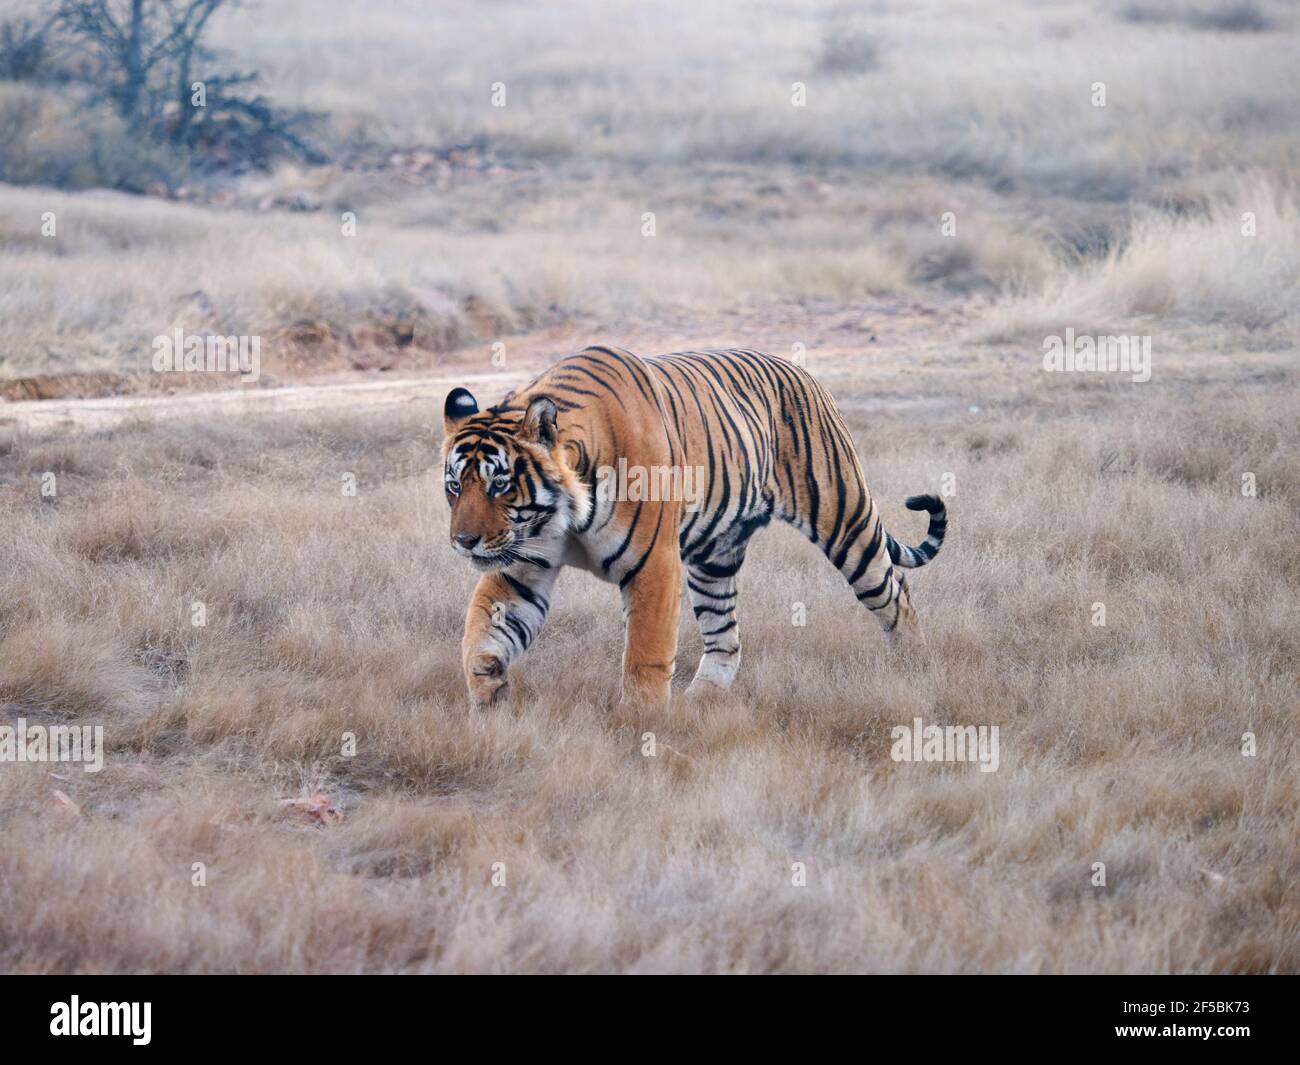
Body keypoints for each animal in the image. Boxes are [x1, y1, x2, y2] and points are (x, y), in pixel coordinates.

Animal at [444, 345, 946, 707]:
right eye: (454, 486)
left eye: (500, 485)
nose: (463, 542)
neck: (563, 515)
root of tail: (802, 371)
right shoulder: (522, 566)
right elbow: (482, 629)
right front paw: (487, 689)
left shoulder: (653, 566)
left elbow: (644, 655)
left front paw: (639, 726)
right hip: (714, 558)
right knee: (725, 636)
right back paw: (700, 700)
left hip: (845, 520)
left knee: (895, 592)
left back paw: (916, 668)